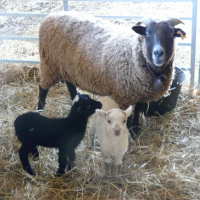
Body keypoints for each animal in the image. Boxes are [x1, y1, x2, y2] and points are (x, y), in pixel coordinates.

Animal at [37, 10, 186, 139]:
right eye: (147, 33)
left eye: (171, 34)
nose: (158, 53)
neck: (134, 55)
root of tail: (51, 15)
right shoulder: (125, 96)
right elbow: (127, 116)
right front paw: (128, 133)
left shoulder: (139, 93)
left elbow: (137, 110)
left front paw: (136, 129)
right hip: (50, 64)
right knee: (43, 88)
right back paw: (39, 111)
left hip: (67, 67)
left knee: (70, 83)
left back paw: (75, 98)